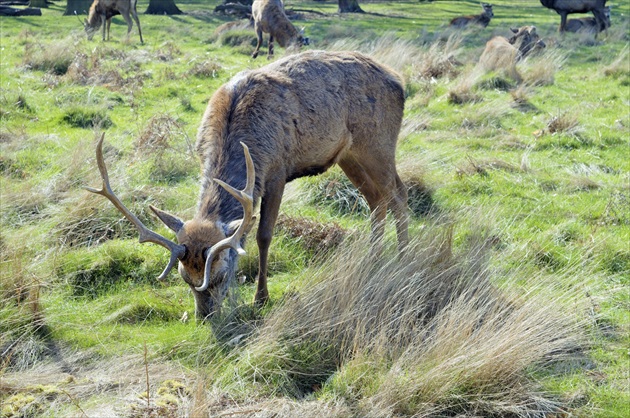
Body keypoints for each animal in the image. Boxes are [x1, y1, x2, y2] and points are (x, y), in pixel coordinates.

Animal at [89, 49, 410, 320]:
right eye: (185, 278)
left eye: (221, 273)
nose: (204, 316)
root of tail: (399, 80)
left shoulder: (277, 171)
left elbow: (263, 235)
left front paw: (260, 297)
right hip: (349, 155)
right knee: (376, 198)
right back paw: (373, 258)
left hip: (378, 143)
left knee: (398, 192)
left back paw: (403, 257)